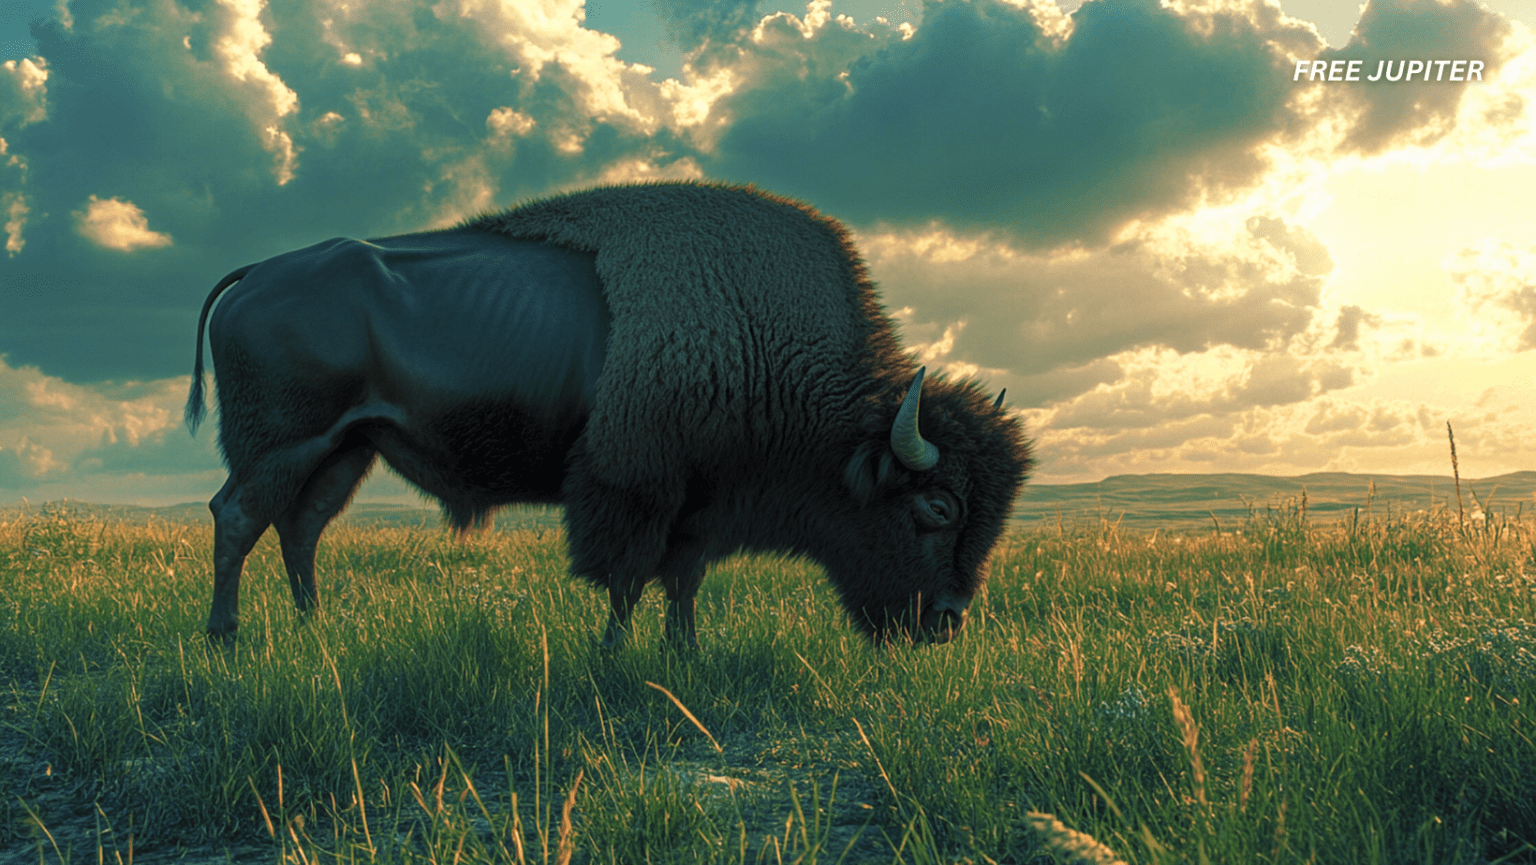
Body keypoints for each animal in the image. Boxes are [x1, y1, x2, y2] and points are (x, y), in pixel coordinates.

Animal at [186, 181, 1031, 648]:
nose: (951, 618)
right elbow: (627, 579)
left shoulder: (698, 506)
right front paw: (613, 655)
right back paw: (226, 635)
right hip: (284, 443)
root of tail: (256, 273)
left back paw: (314, 627)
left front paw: (685, 654)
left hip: (348, 449)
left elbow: (682, 582)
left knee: (299, 528)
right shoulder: (635, 488)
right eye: (938, 504)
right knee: (238, 515)